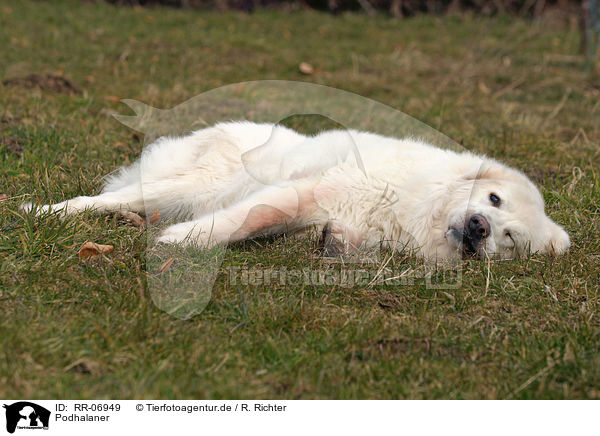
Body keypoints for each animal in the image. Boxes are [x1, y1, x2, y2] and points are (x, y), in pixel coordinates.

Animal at [24, 121, 572, 260]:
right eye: (494, 201)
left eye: (511, 239)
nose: (480, 228)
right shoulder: (306, 192)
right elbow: (246, 219)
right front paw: (186, 242)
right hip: (186, 184)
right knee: (95, 201)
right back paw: (43, 211)